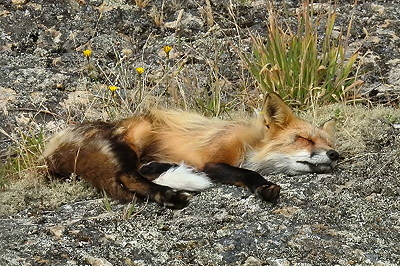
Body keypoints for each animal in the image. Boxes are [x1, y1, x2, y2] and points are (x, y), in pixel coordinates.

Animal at [43, 92, 338, 209]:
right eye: (304, 139)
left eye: (329, 144)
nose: (335, 155)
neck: (249, 143)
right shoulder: (213, 159)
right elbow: (248, 173)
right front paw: (264, 187)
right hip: (129, 143)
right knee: (128, 176)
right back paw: (168, 195)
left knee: (140, 172)